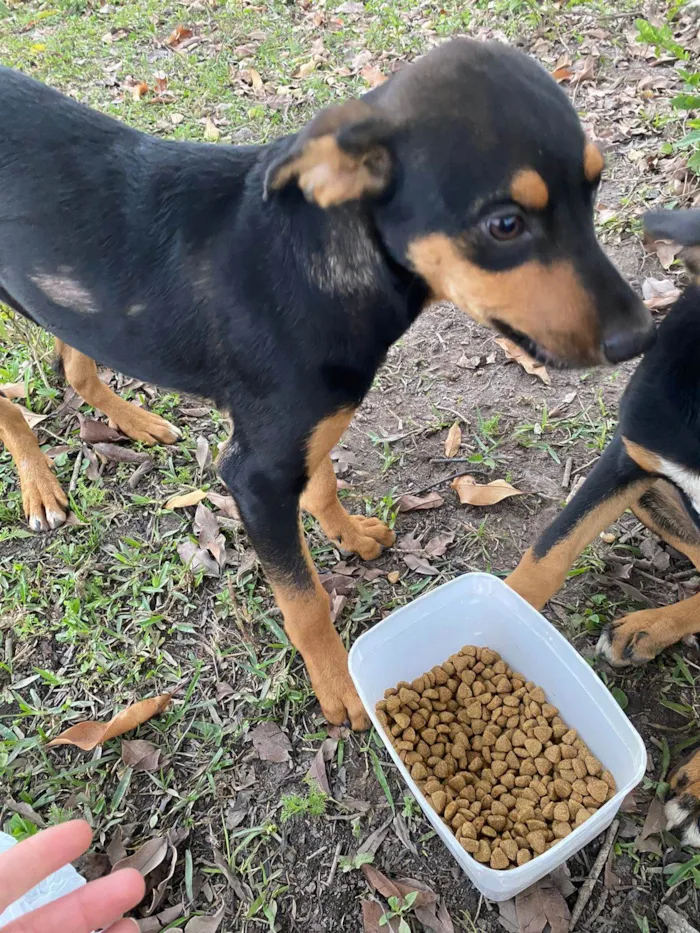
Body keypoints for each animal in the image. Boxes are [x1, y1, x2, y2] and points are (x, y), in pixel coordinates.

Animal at [1, 40, 656, 728]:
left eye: (594, 187)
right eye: (504, 224)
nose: (641, 337)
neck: (318, 265)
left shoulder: (306, 429)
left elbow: (322, 481)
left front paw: (348, 533)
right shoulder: (255, 475)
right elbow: (306, 599)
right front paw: (340, 682)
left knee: (75, 364)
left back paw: (133, 419)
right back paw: (39, 484)